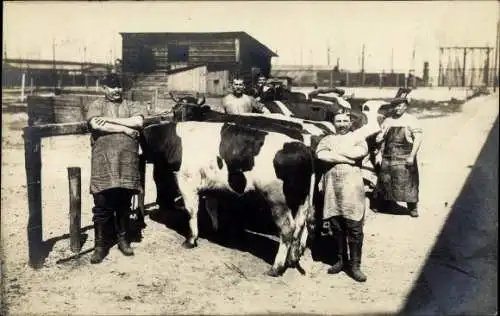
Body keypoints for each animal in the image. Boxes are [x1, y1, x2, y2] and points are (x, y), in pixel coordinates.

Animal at [140, 121, 316, 276]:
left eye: (157, 177)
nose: (160, 202)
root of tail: (303, 149)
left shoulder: (187, 182)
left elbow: (191, 211)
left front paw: (190, 240)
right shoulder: (211, 186)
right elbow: (211, 208)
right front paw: (215, 230)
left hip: (278, 200)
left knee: (287, 229)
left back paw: (276, 268)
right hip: (302, 200)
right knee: (300, 226)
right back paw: (292, 259)